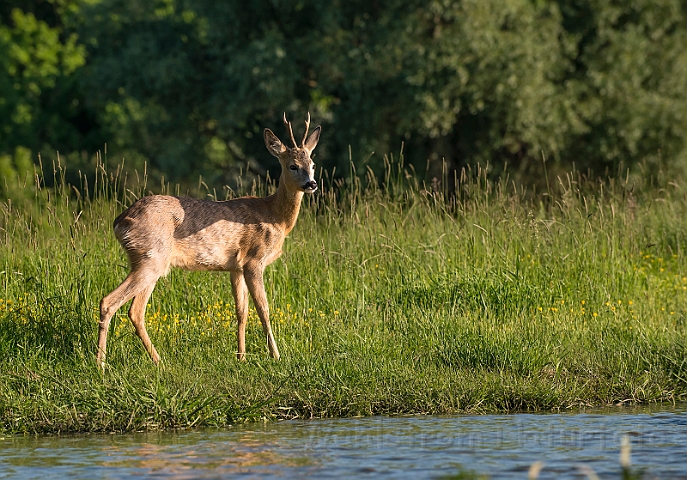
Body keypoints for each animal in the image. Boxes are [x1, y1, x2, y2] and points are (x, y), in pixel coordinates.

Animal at [97, 113, 322, 368]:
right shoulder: (254, 260)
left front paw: (241, 357)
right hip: (151, 258)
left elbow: (241, 311)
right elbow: (263, 308)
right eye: (293, 165)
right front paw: (275, 355)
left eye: (312, 164)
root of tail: (119, 222)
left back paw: (158, 361)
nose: (312, 184)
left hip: (147, 261)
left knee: (135, 311)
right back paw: (101, 364)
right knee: (109, 301)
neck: (276, 217)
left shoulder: (236, 267)